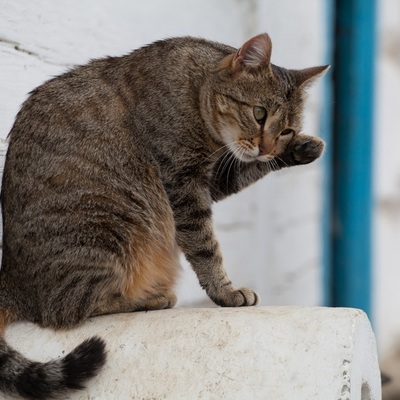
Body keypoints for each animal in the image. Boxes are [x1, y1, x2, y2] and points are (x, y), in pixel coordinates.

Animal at [0, 32, 328, 398]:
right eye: (259, 114)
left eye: (285, 130)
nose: (268, 147)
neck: (196, 89)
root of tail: (10, 279)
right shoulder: (183, 186)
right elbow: (206, 248)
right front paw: (225, 292)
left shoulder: (213, 178)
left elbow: (246, 170)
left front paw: (300, 148)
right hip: (110, 228)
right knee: (65, 311)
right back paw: (149, 298)